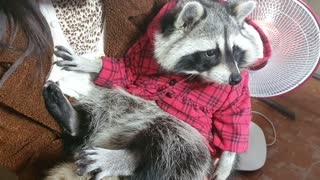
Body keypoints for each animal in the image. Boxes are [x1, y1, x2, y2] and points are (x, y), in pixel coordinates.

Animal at [43, 0, 264, 179]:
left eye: (235, 49)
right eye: (211, 53)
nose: (235, 79)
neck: (189, 73)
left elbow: (234, 115)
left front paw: (227, 161)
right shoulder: (146, 50)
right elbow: (127, 70)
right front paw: (91, 64)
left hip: (184, 133)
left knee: (174, 147)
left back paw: (125, 159)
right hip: (127, 102)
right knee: (108, 101)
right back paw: (74, 120)